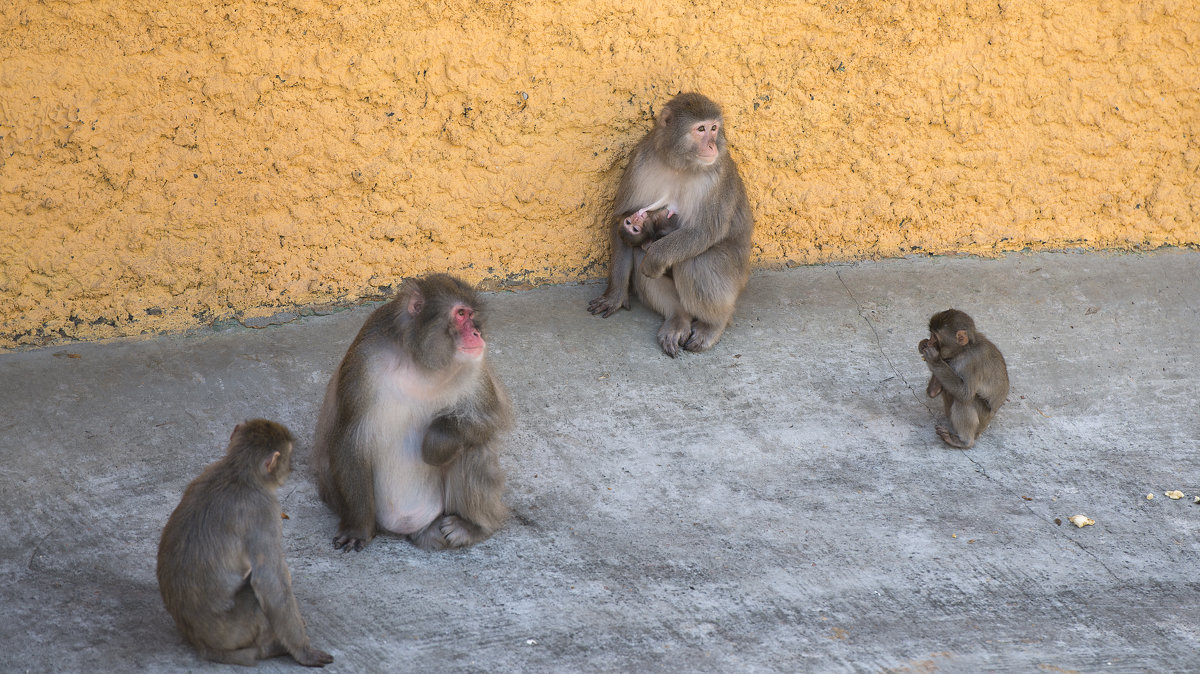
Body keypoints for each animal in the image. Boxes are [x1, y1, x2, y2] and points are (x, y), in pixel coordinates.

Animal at [157, 417, 333, 662]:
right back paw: (273, 647)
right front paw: (303, 651)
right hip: (235, 629)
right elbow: (269, 580)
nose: (291, 468)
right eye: (288, 457)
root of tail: (201, 643)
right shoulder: (265, 510)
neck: (237, 472)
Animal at [309, 273, 511, 551]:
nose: (476, 333)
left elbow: (491, 416)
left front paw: (437, 442)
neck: (419, 362)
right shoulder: (363, 360)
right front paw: (358, 528)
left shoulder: (475, 367)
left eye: (472, 315)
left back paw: (472, 526)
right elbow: (350, 438)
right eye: (460, 314)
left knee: (472, 446)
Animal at [588, 92, 753, 359]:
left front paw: (656, 257)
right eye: (701, 129)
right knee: (639, 252)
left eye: (714, 128)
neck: (681, 164)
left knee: (696, 260)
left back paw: (713, 324)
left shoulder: (716, 176)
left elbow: (703, 232)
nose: (712, 146)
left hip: (736, 279)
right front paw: (615, 295)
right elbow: (619, 220)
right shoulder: (641, 161)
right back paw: (678, 318)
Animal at [916, 309, 1012, 446]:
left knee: (966, 400)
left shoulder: (972, 362)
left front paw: (934, 360)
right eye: (931, 335)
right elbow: (935, 392)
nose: (928, 342)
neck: (964, 350)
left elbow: (965, 394)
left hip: (982, 419)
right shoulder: (951, 360)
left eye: (935, 337)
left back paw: (964, 441)